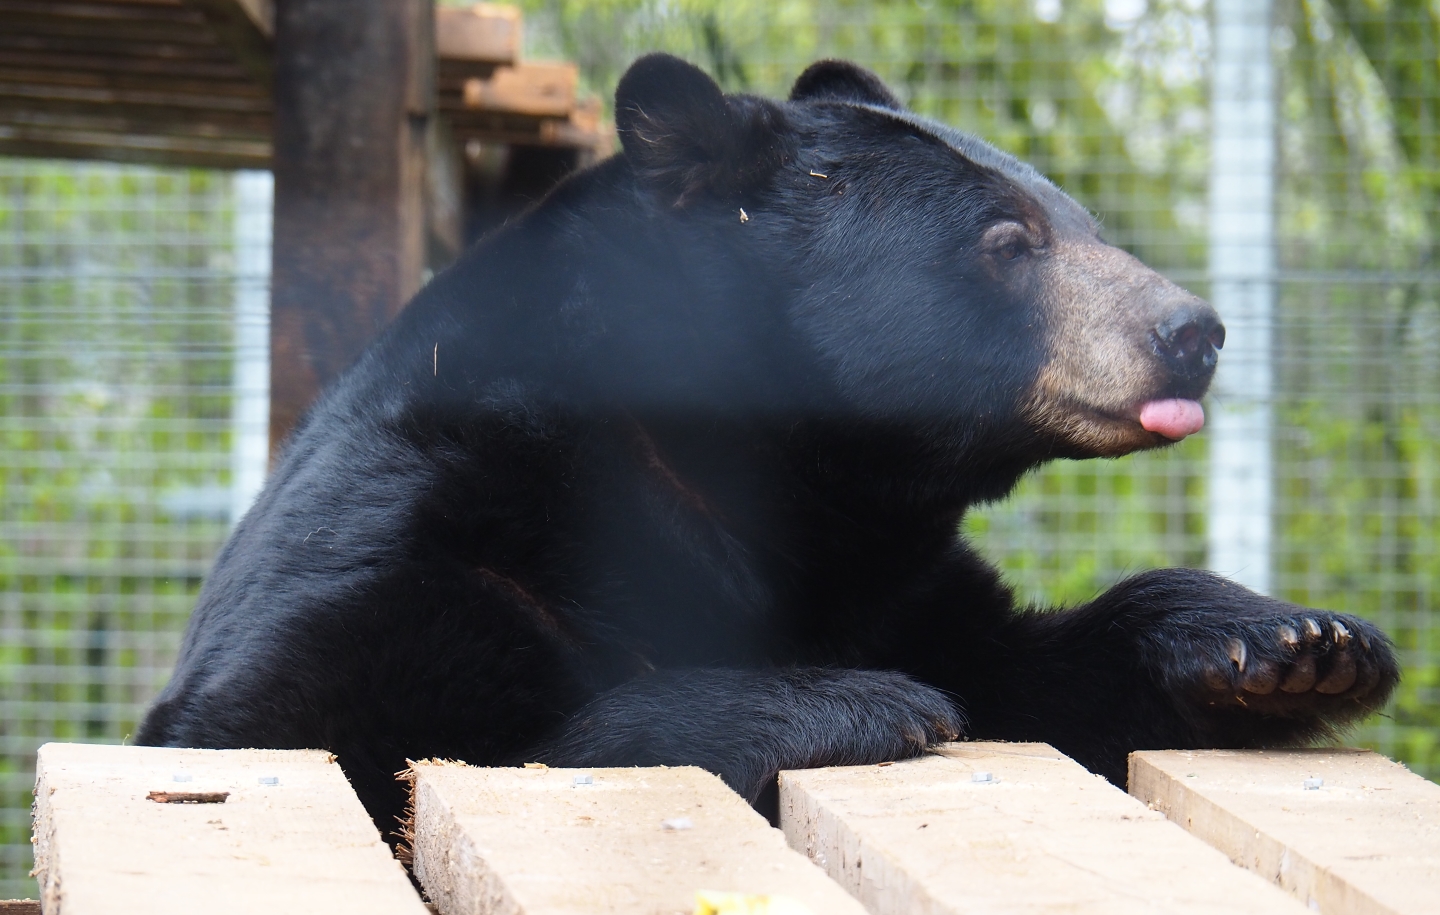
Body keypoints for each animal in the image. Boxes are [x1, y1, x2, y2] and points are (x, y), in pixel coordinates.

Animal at [138, 54, 1399, 837]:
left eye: (1080, 218)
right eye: (1008, 241)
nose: (1192, 333)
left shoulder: (890, 576)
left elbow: (1035, 666)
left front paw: (1294, 643)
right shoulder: (430, 521)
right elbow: (309, 730)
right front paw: (852, 703)